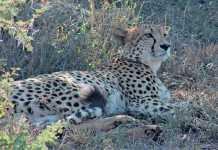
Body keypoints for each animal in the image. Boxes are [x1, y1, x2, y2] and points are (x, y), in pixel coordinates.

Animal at [8, 24, 175, 125]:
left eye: (165, 34)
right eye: (148, 35)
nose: (166, 45)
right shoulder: (142, 101)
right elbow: (177, 107)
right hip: (73, 88)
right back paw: (127, 120)